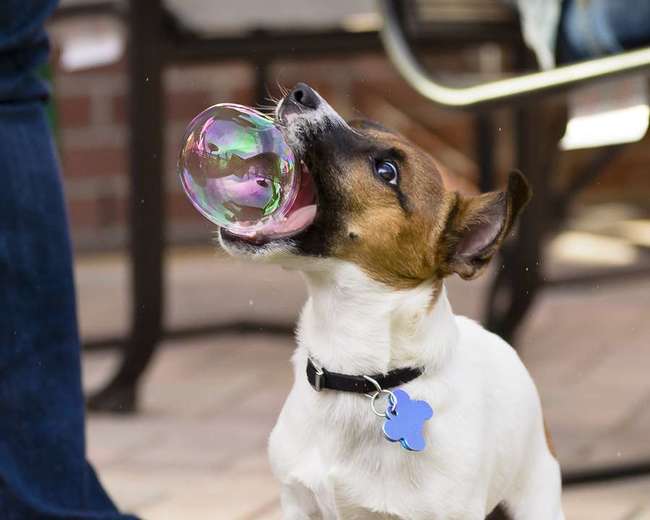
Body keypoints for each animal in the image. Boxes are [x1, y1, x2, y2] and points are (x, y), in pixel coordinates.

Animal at [219, 83, 560, 516]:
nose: (301, 92)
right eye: (357, 125)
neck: (357, 374)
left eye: (387, 172)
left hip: (536, 497)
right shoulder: (297, 502)